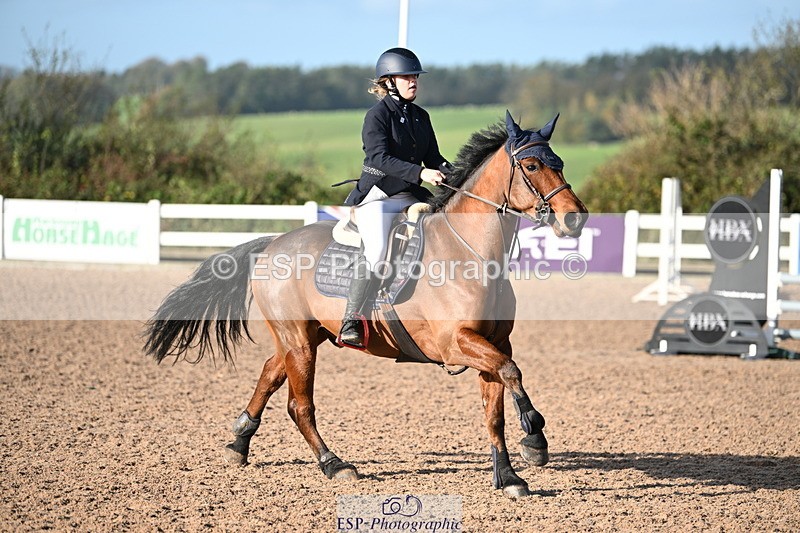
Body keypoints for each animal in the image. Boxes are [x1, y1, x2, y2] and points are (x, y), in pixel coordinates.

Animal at [143, 110, 588, 498]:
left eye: (561, 163)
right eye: (531, 165)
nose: (575, 219)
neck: (470, 252)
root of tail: (272, 243)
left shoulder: (493, 343)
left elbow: (495, 408)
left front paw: (509, 476)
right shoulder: (456, 343)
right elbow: (512, 373)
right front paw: (535, 438)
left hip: (307, 336)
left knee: (270, 373)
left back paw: (239, 443)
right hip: (299, 342)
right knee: (299, 405)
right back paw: (333, 464)